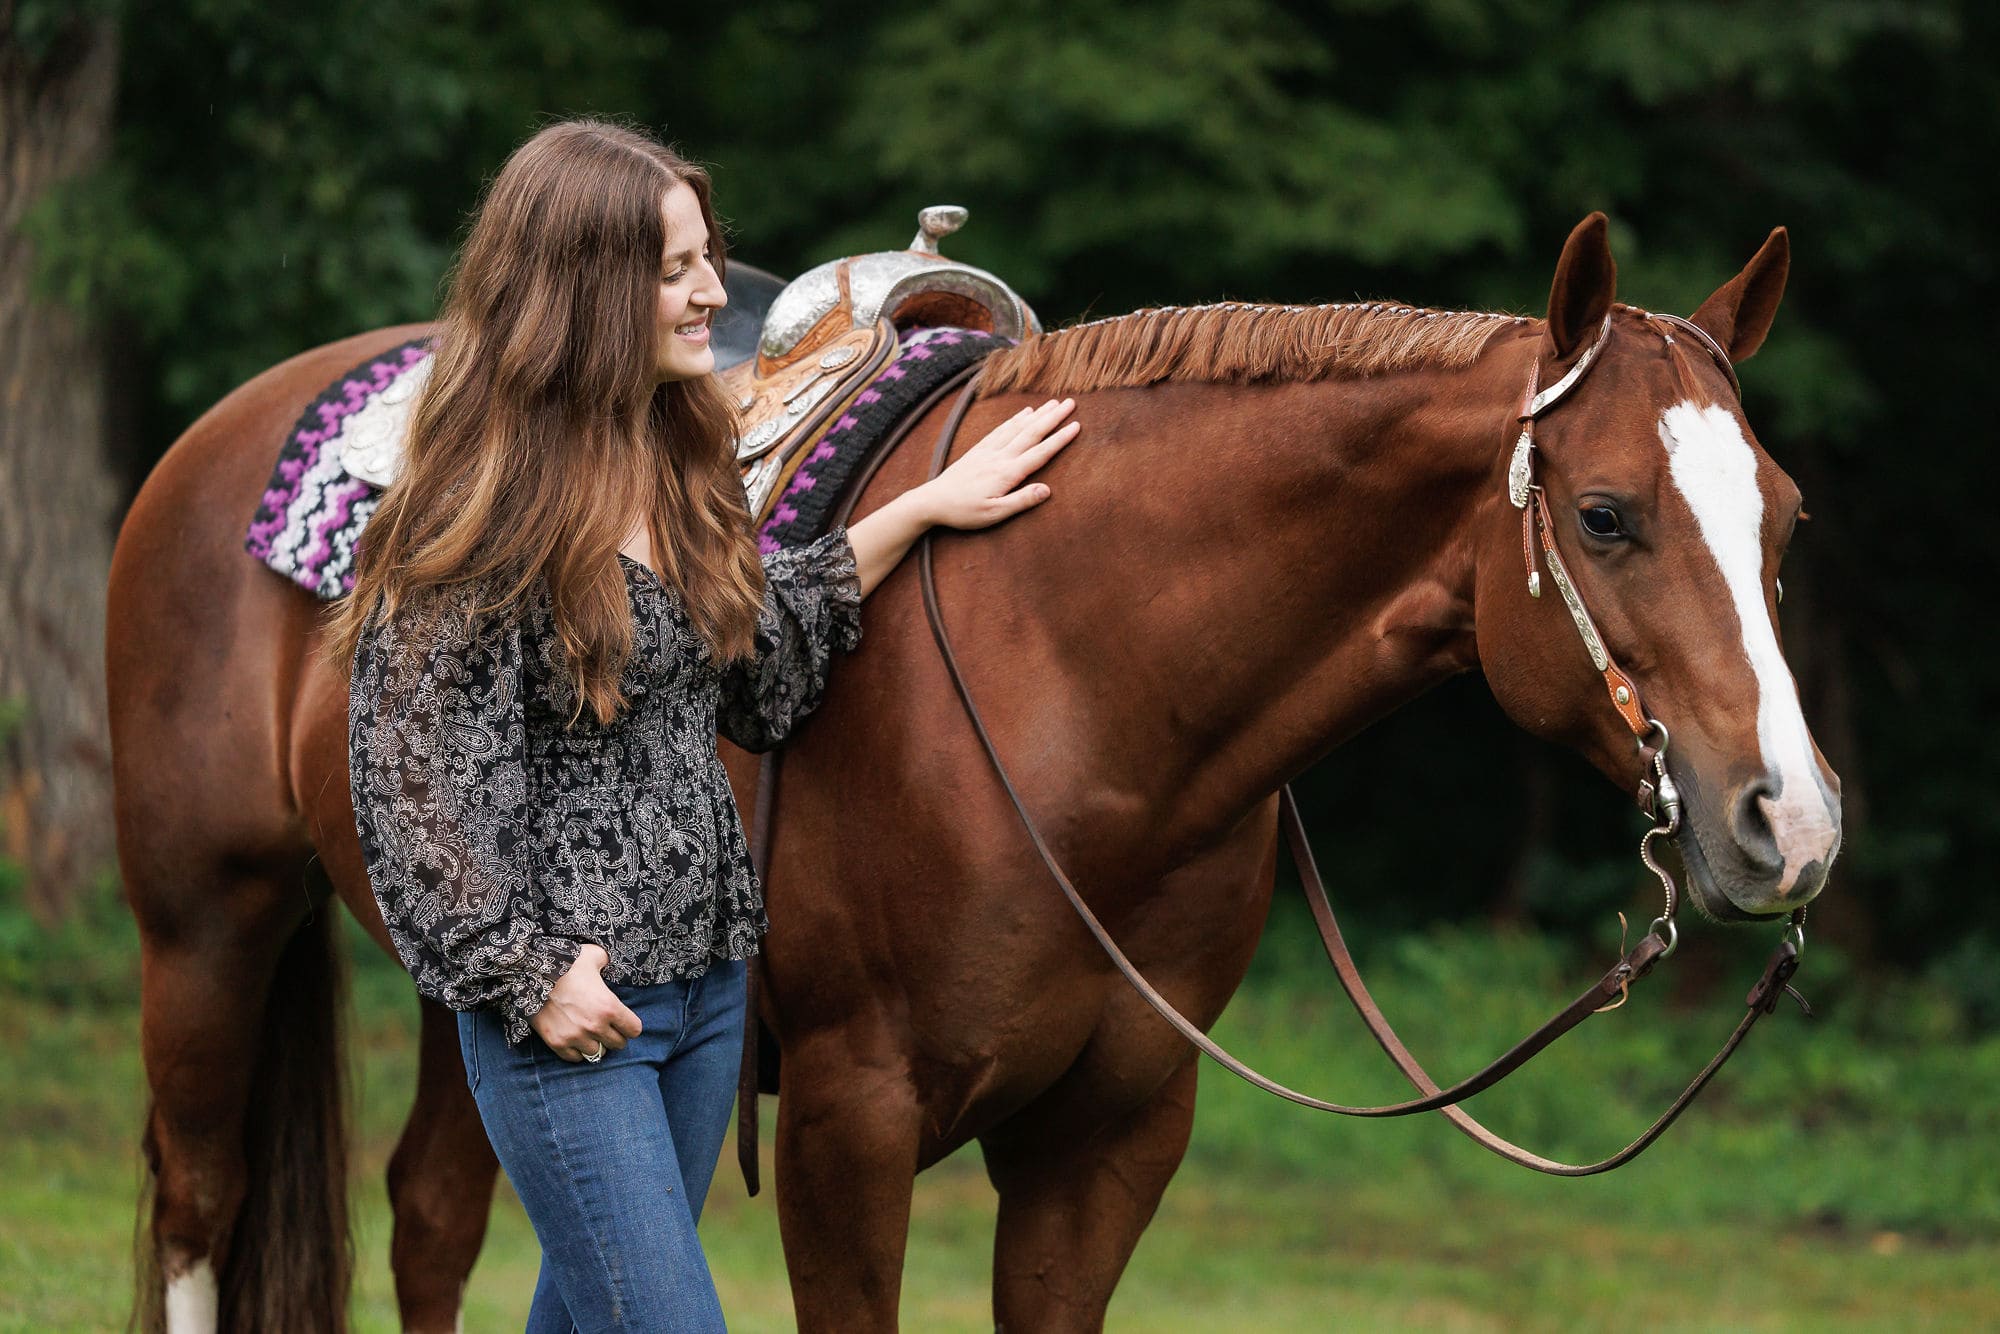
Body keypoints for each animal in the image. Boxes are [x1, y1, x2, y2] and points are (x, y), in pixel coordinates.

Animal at [105, 214, 1832, 1328]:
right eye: (1605, 514)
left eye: (1787, 513)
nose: (1790, 820)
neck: (1079, 679)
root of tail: (231, 428)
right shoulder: (847, 1128)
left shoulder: (1110, 1140)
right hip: (207, 927)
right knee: (202, 1204)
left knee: (433, 1213)